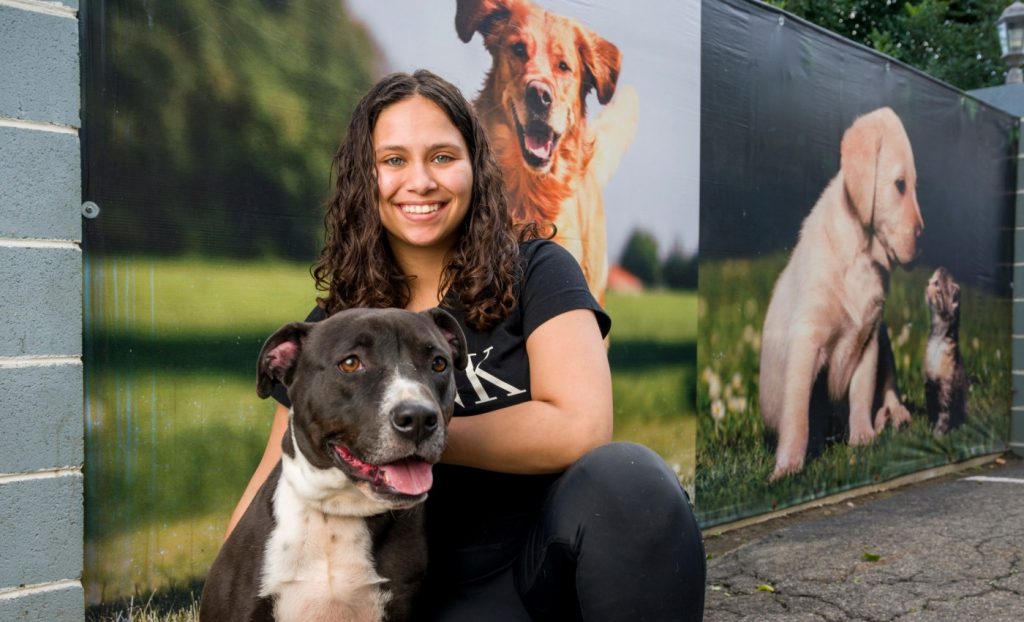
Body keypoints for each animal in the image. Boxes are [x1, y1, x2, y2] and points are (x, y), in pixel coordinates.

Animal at [757, 107, 925, 479]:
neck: (862, 255)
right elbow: (800, 414)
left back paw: (894, 415)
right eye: (900, 185)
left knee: (889, 389)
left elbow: (861, 393)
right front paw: (788, 467)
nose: (923, 240)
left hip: (887, 341)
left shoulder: (870, 338)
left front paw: (863, 438)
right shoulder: (807, 340)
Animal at [925, 268, 970, 438]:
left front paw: (938, 435)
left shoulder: (947, 384)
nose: (928, 284)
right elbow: (931, 408)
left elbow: (944, 413)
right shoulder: (928, 381)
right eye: (931, 280)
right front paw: (929, 428)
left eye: (937, 285)